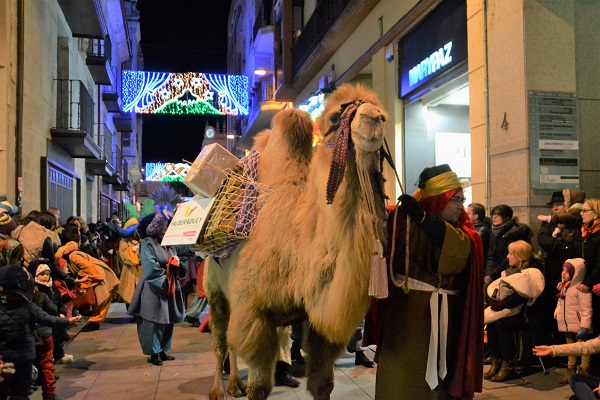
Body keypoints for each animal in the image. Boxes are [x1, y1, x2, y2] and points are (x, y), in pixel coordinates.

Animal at [204, 83, 392, 398]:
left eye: (382, 112)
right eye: (335, 118)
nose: (374, 119)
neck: (299, 247)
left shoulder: (317, 323)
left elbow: (322, 384)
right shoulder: (254, 313)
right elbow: (259, 387)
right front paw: (251, 386)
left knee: (230, 341)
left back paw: (234, 385)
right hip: (215, 291)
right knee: (220, 341)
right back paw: (219, 390)